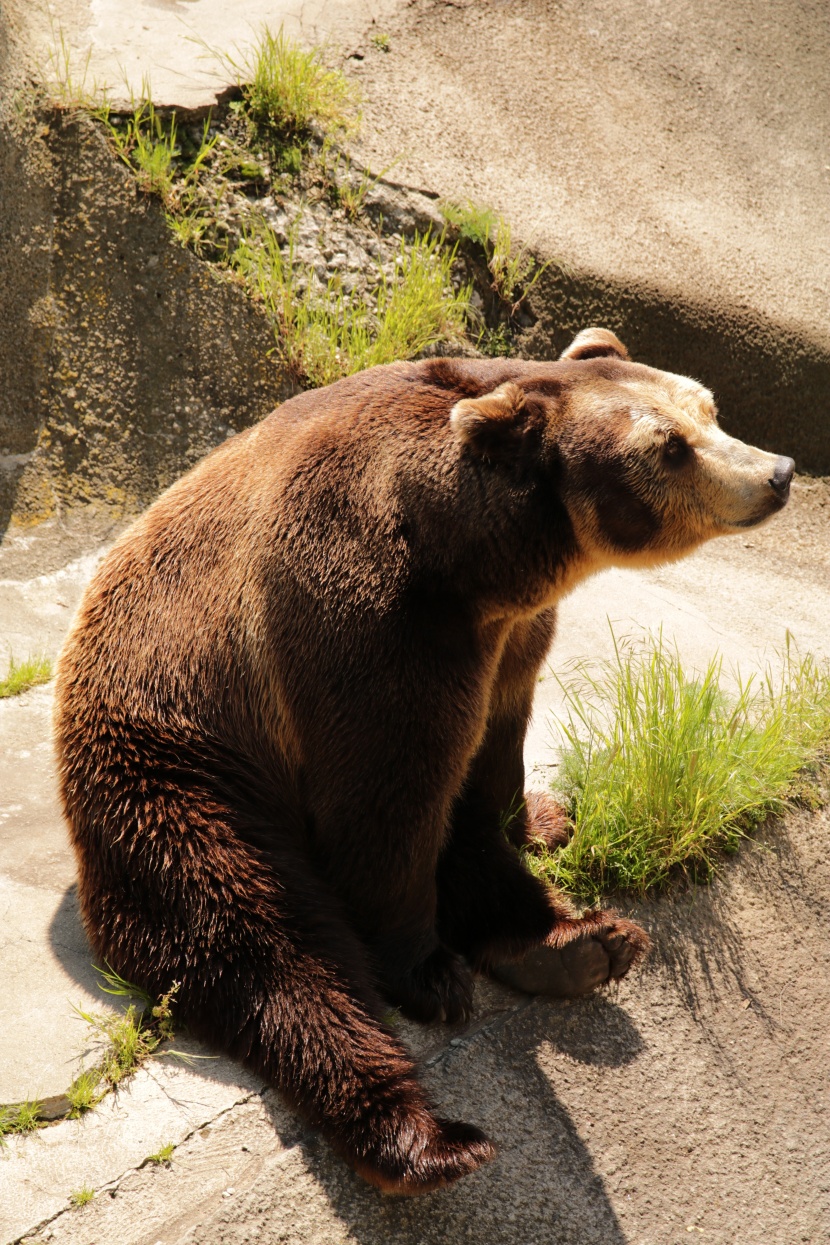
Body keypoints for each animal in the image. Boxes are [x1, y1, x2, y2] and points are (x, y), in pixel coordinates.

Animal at [55, 331, 796, 1195]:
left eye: (707, 406)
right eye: (669, 447)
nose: (777, 472)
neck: (470, 559)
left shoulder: (509, 637)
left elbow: (489, 765)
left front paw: (540, 830)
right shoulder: (373, 624)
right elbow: (388, 806)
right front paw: (429, 970)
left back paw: (579, 938)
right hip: (183, 767)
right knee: (260, 938)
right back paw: (429, 1136)